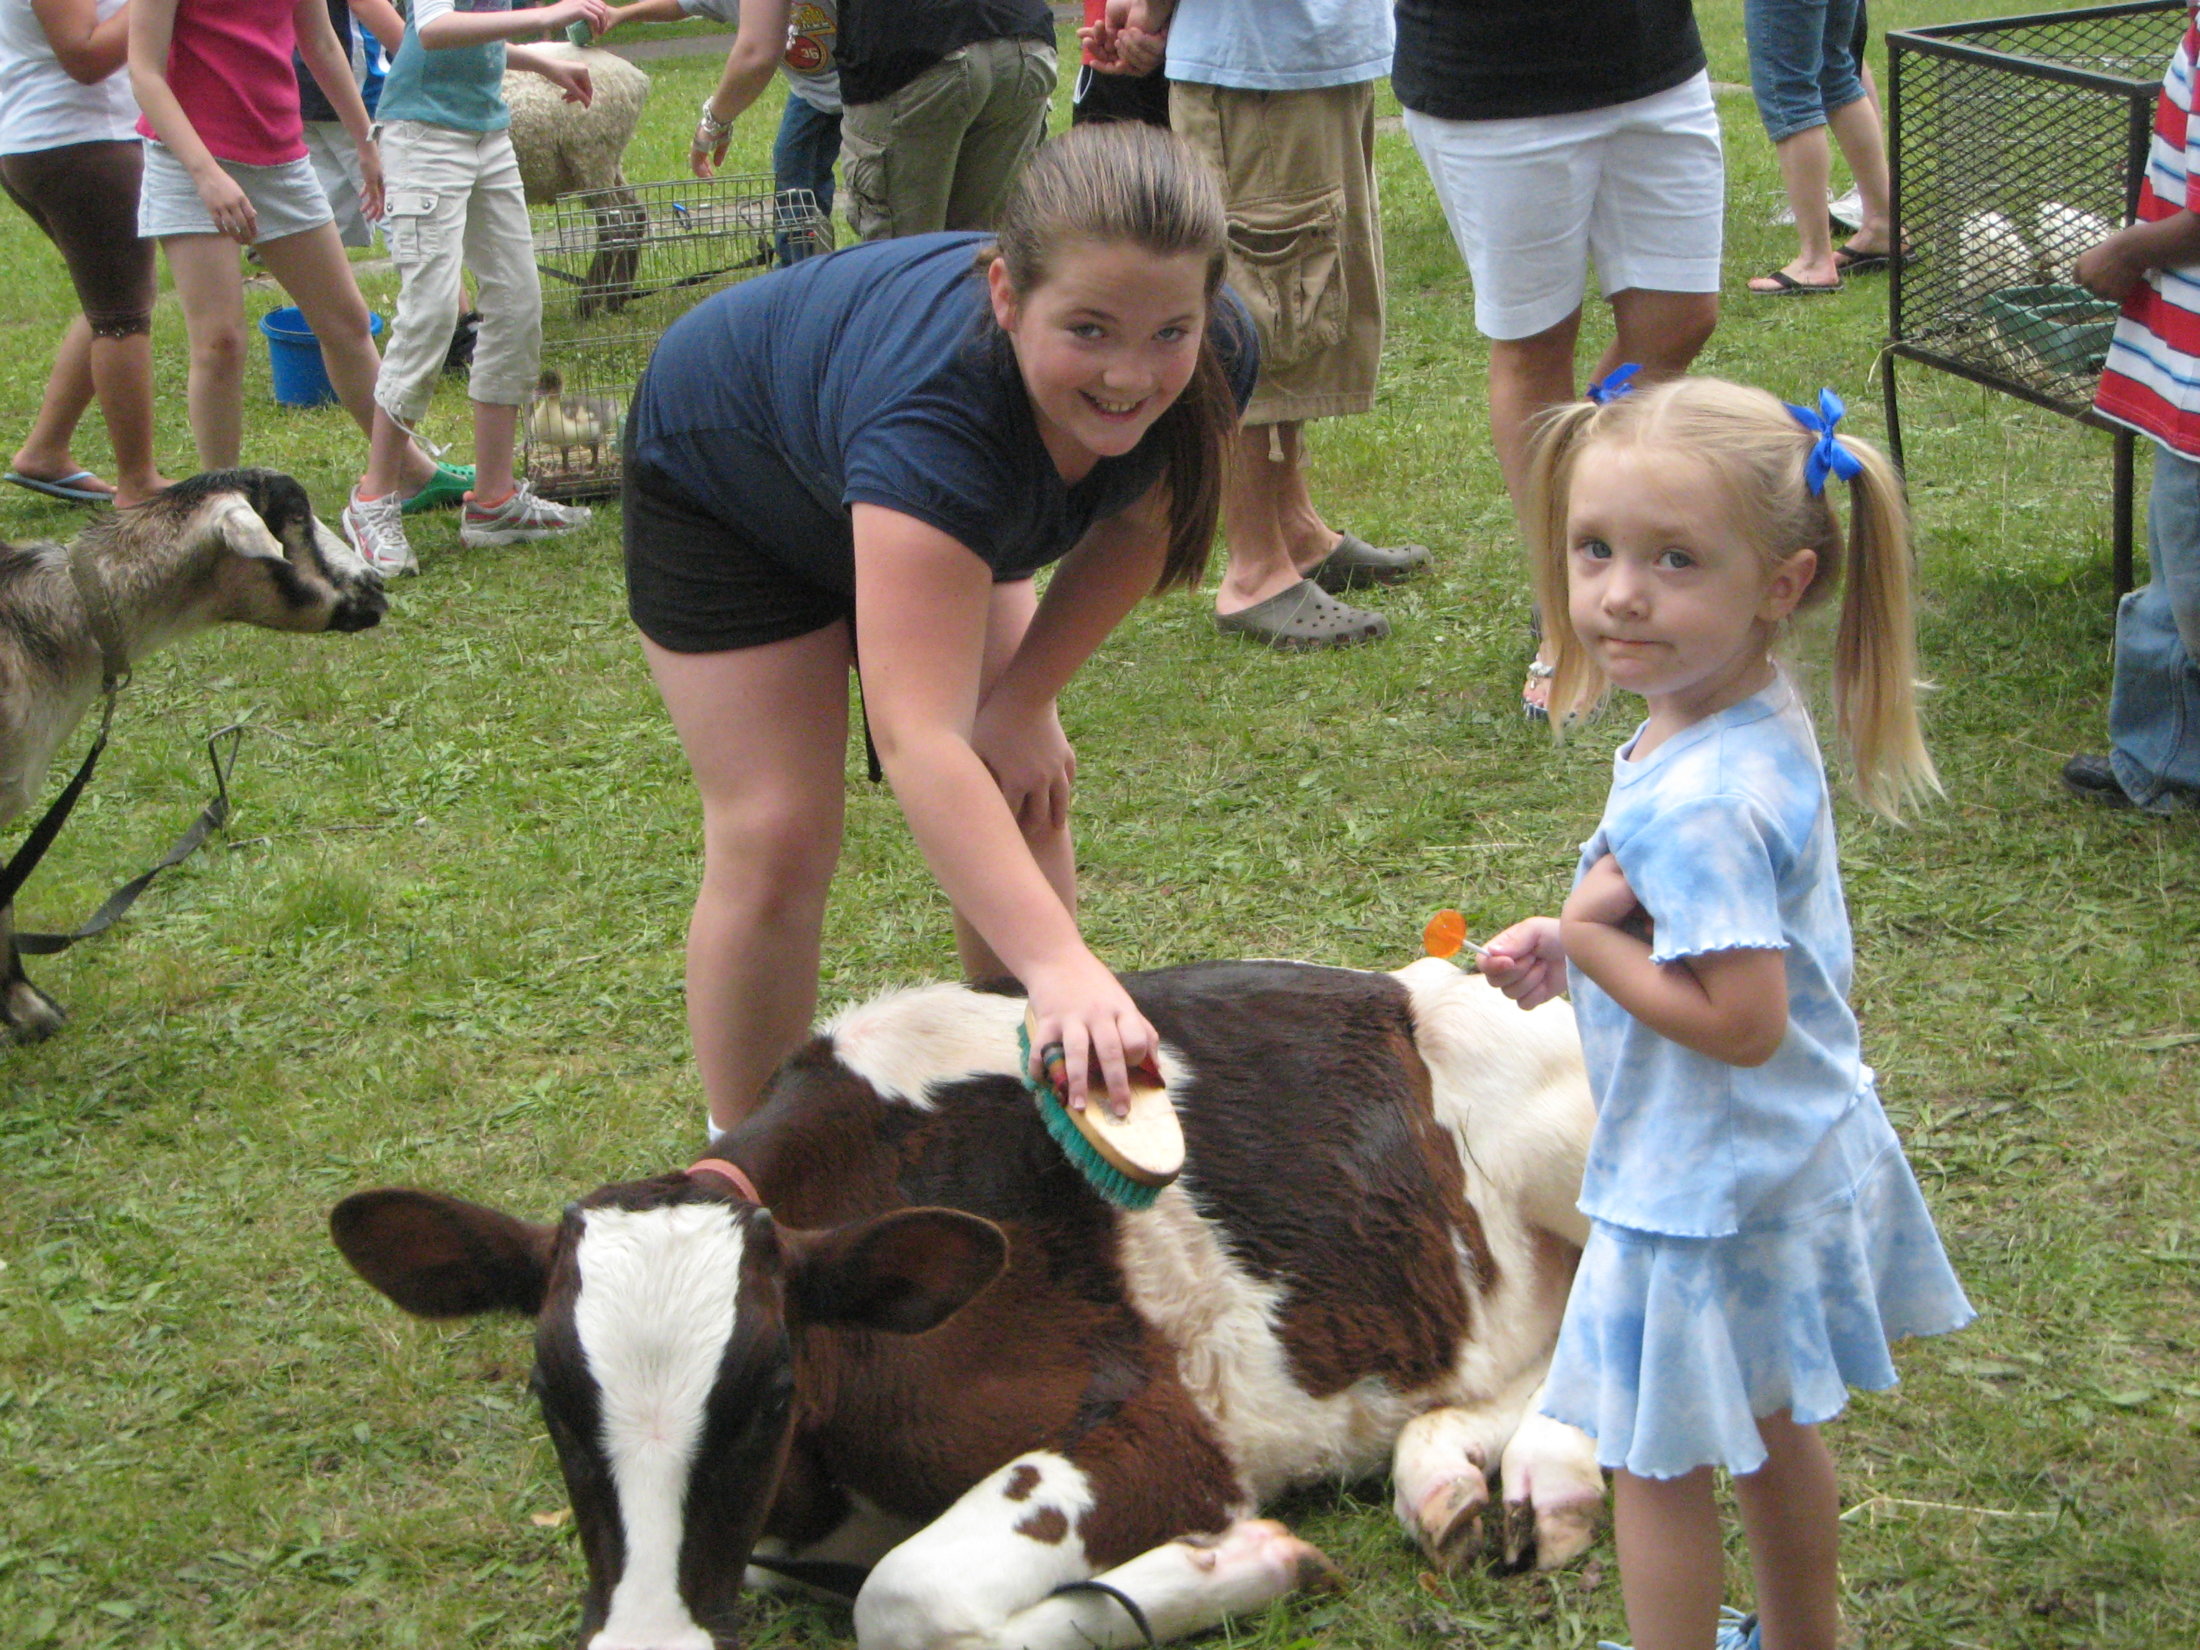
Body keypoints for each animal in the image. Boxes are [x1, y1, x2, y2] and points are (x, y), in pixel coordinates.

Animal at [331, 957, 1605, 1650]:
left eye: (773, 1389)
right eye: (548, 1394)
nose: (650, 1637)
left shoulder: (1165, 1426)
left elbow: (906, 1595)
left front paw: (1234, 1566)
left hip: (1575, 1146)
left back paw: (1543, 1469)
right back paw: (1447, 1475)